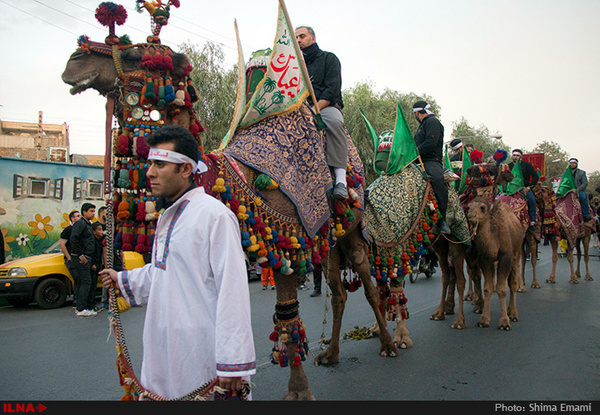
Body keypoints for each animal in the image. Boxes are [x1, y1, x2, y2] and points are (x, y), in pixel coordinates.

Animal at [62, 0, 398, 404]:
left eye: (133, 53)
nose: (75, 61)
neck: (226, 178)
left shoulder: (287, 245)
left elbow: (287, 316)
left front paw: (299, 391)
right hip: (329, 239)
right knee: (337, 291)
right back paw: (330, 354)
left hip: (353, 228)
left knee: (367, 283)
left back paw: (388, 344)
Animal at [466, 198, 524, 332]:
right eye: (468, 207)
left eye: (482, 207)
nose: (470, 215)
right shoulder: (486, 259)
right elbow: (488, 288)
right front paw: (483, 320)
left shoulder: (505, 257)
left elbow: (501, 289)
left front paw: (504, 323)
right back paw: (509, 311)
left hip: (516, 252)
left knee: (513, 283)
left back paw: (513, 314)